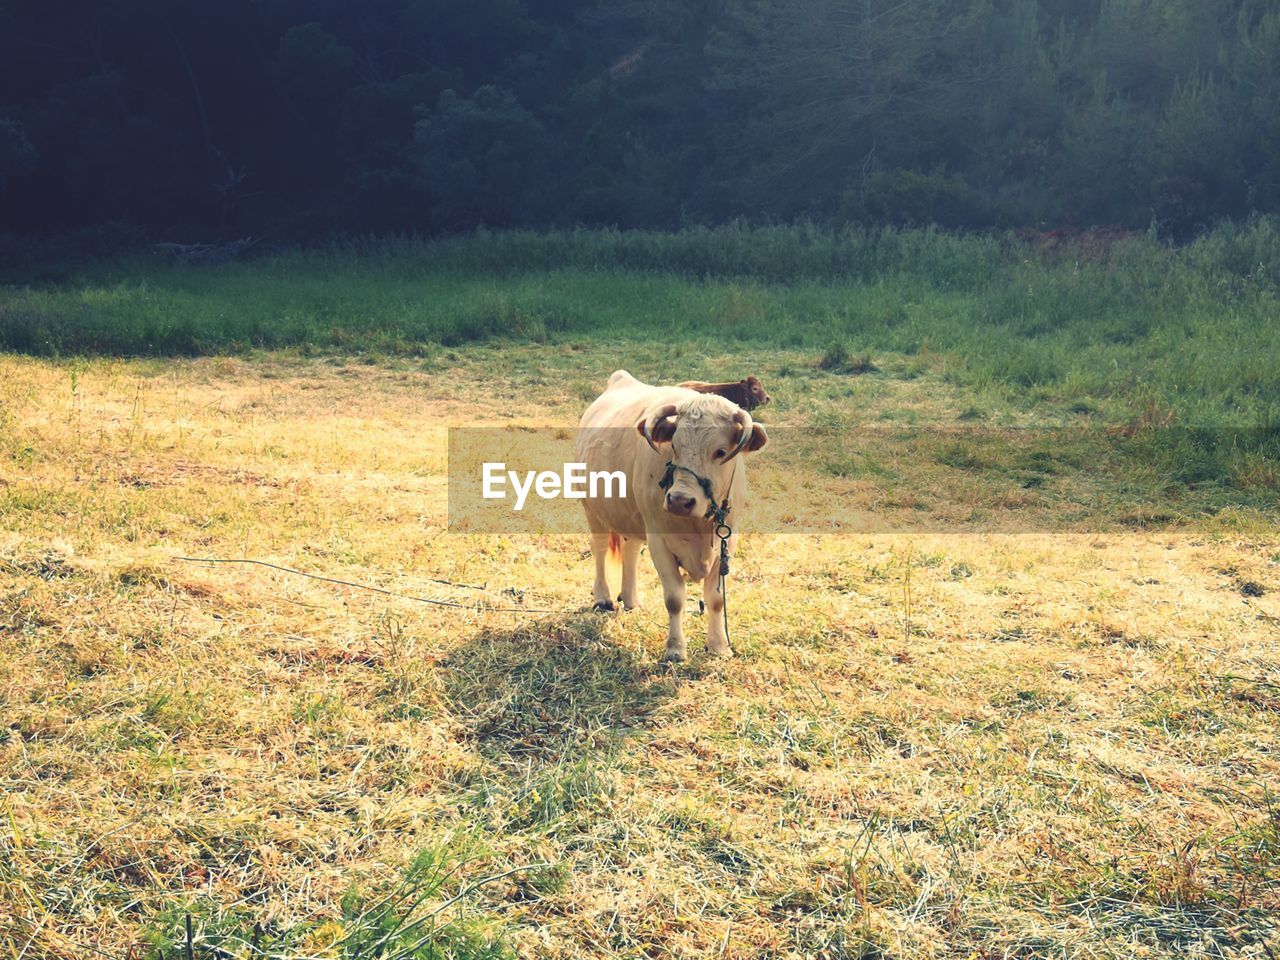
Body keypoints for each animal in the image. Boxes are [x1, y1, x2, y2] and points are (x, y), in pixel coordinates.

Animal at [578, 371, 768, 660]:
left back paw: (631, 599)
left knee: (630, 550)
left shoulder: (727, 542)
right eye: (675, 447)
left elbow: (716, 599)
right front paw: (675, 649)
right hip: (594, 510)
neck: (698, 524)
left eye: (720, 452)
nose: (679, 500)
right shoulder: (659, 540)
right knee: (599, 549)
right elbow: (674, 598)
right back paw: (603, 597)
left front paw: (718, 646)